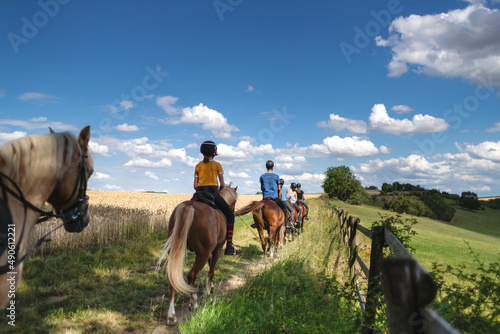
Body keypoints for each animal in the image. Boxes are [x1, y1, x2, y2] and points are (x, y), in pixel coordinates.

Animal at [158, 185, 240, 326]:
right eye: (234, 201)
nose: (233, 210)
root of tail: (189, 206)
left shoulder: (211, 251)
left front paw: (211, 288)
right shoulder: (217, 249)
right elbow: (211, 272)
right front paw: (209, 297)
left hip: (176, 249)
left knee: (172, 278)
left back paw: (171, 316)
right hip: (202, 254)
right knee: (191, 275)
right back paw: (194, 304)